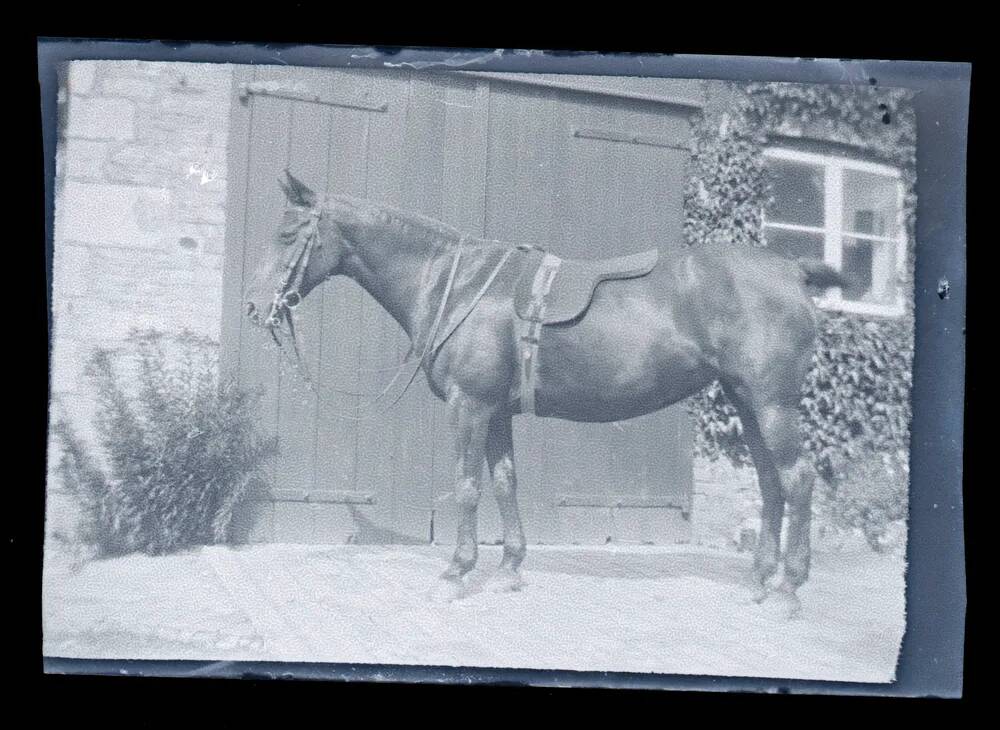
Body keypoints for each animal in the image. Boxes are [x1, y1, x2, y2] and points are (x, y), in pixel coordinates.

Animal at [246, 171, 848, 616]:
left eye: (287, 236)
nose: (254, 307)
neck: (457, 283)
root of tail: (792, 270)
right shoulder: (497, 412)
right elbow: (505, 482)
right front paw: (509, 570)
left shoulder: (470, 406)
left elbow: (467, 487)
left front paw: (455, 572)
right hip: (747, 402)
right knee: (770, 482)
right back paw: (761, 581)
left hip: (772, 404)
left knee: (797, 478)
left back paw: (788, 590)